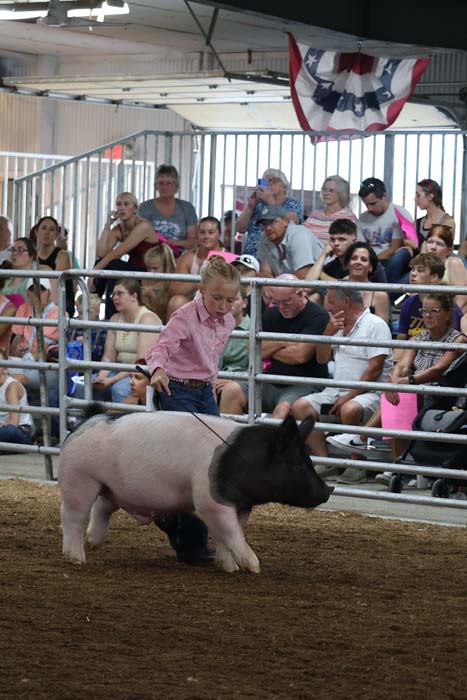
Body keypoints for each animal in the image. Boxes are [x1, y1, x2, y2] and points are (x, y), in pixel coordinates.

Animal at [58, 411, 333, 573]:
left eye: (309, 460)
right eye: (298, 465)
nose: (328, 490)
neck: (243, 460)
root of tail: (79, 427)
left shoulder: (241, 503)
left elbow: (230, 532)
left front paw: (228, 567)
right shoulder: (211, 500)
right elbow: (231, 531)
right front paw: (253, 567)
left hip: (111, 487)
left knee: (102, 507)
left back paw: (94, 542)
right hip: (79, 478)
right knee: (72, 516)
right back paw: (76, 558)